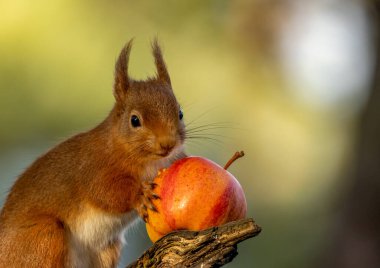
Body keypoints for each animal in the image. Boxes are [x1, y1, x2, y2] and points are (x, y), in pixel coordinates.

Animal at [0, 39, 186, 268]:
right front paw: (139, 194)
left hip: (107, 249)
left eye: (180, 113)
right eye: (134, 120)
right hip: (43, 236)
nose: (167, 144)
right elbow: (104, 191)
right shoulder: (95, 165)